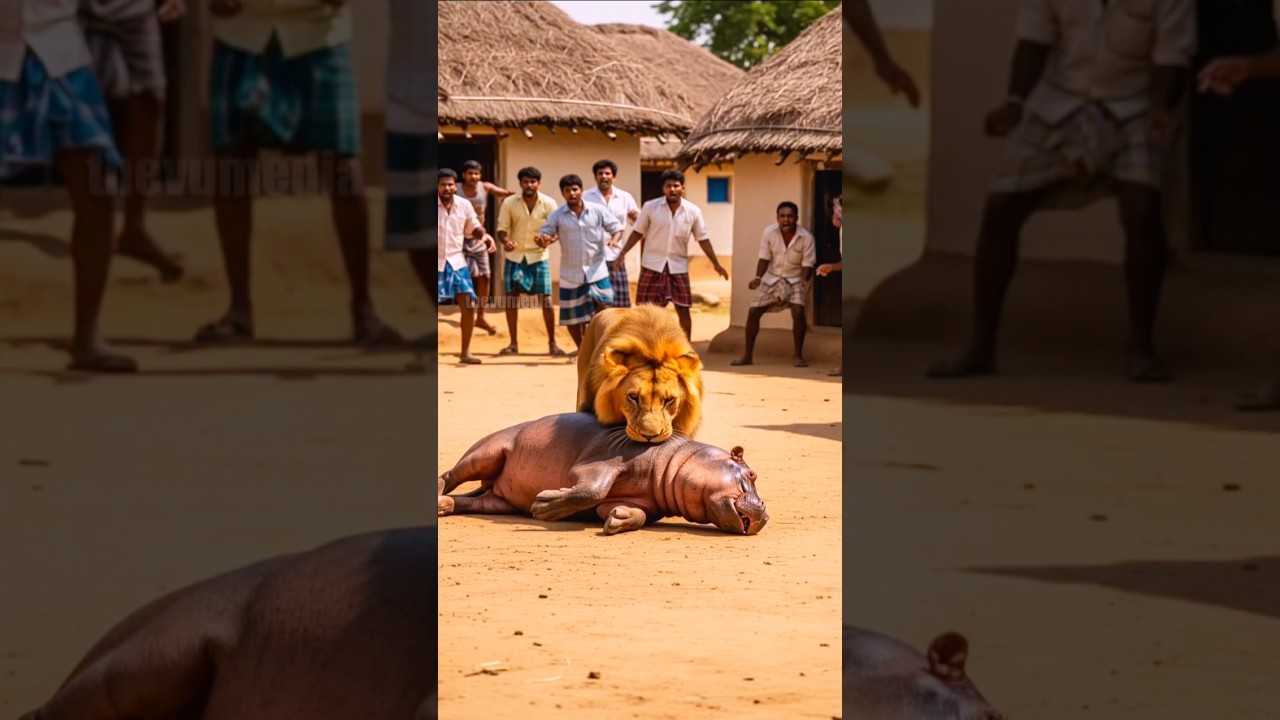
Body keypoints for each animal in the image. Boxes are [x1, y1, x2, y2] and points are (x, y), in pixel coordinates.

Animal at [437, 412, 768, 535]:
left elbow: (634, 514)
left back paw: (443, 506)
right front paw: (544, 505)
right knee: (450, 475)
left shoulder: (644, 502)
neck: (676, 458)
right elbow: (592, 488)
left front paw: (618, 520)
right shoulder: (601, 463)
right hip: (488, 451)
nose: (765, 510)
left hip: (498, 499)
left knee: (468, 500)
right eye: (751, 474)